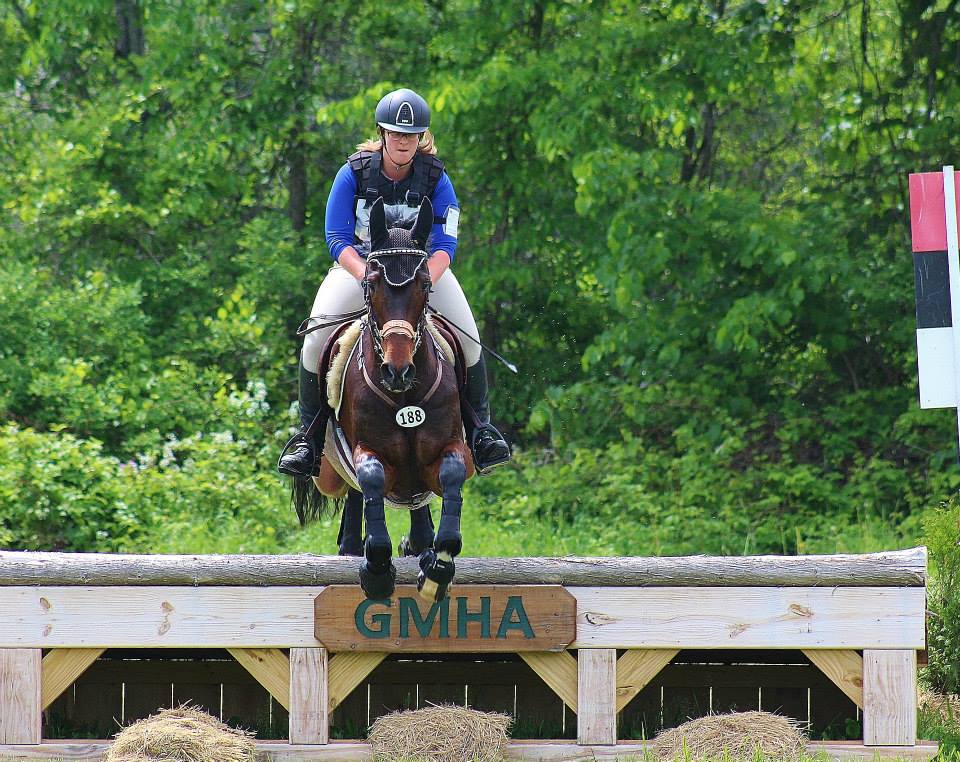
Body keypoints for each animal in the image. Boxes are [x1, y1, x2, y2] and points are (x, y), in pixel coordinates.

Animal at [296, 196, 474, 602]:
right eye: (372, 284)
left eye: (424, 285)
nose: (397, 371)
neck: (405, 395)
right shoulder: (368, 452)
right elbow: (371, 478)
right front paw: (376, 569)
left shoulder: (446, 448)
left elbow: (452, 477)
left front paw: (437, 568)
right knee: (356, 492)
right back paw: (351, 546)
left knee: (417, 503)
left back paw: (421, 543)